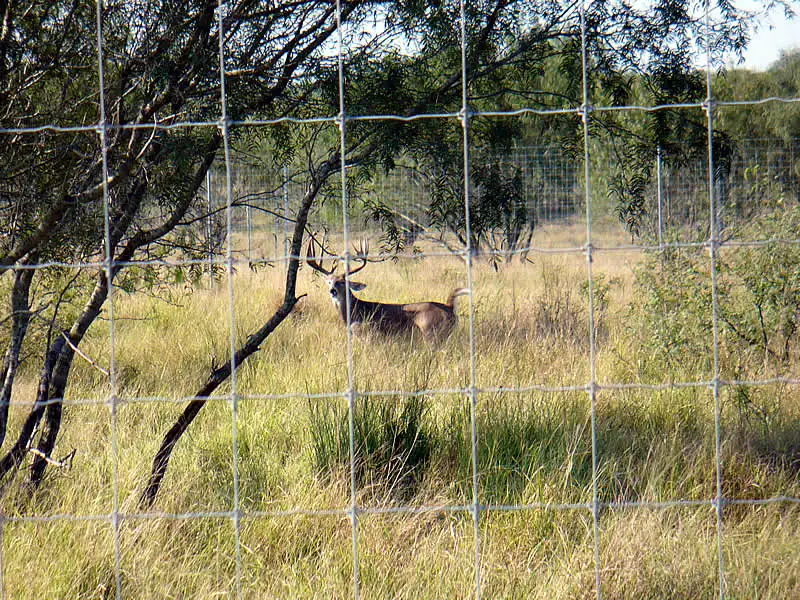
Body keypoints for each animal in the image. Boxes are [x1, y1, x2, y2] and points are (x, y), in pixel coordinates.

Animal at [306, 237, 468, 344]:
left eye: (342, 282)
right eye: (329, 281)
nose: (332, 290)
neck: (353, 314)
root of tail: (449, 306)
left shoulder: (368, 336)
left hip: (431, 333)